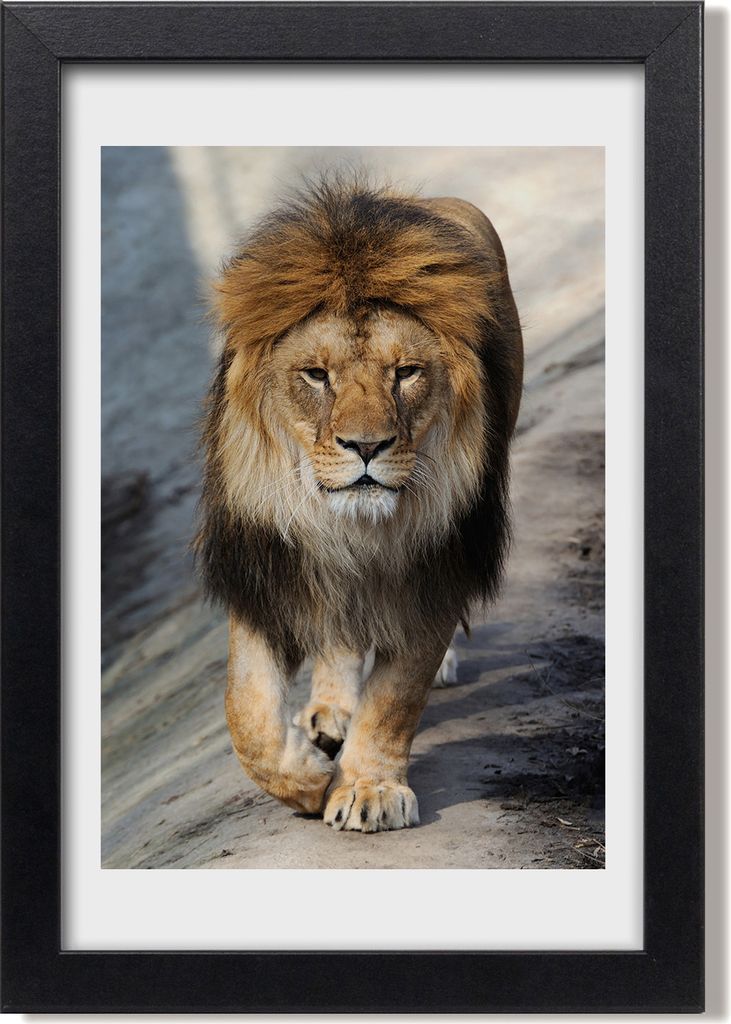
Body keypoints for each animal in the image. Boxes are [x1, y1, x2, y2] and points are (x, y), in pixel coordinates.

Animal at [196, 178, 523, 832]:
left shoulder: (437, 570)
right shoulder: (268, 566)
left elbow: (397, 697)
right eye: (316, 375)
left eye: (407, 372)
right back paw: (328, 715)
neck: (356, 529)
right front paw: (306, 778)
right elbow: (246, 711)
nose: (367, 446)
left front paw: (370, 788)